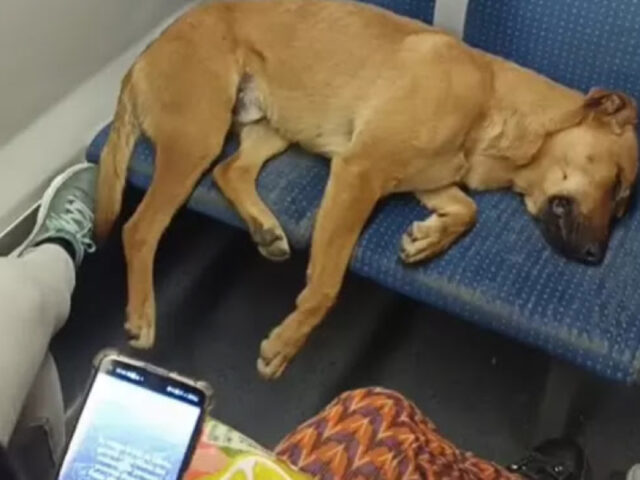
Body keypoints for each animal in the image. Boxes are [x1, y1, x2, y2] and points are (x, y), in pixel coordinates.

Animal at [92, 1, 636, 380]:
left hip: (274, 126)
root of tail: (141, 59)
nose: (596, 256)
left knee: (231, 171)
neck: (494, 104)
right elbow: (326, 286)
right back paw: (142, 314)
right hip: (197, 137)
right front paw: (288, 342)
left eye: (621, 203)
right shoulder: (360, 173)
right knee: (140, 228)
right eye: (618, 186)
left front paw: (427, 240)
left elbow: (467, 211)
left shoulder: (430, 181)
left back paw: (265, 227)